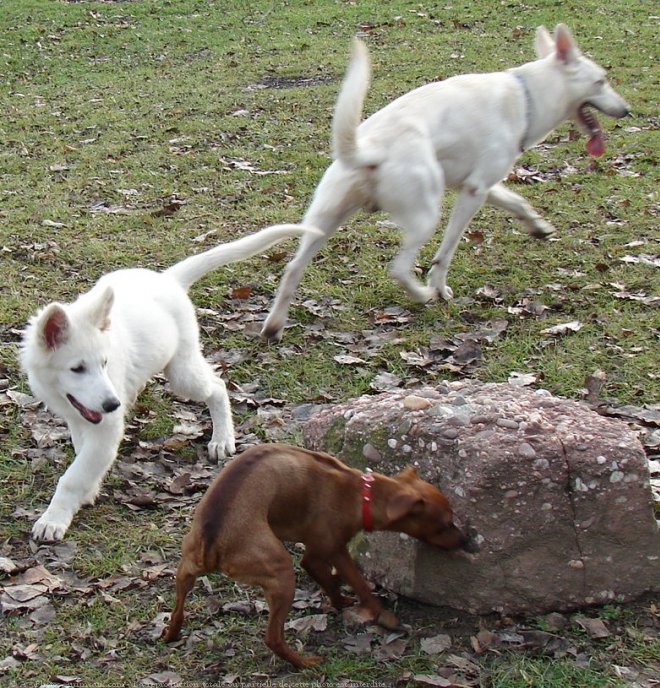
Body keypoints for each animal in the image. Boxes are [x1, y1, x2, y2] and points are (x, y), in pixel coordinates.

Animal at [21, 223, 316, 540]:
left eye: (104, 363)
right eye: (77, 369)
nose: (113, 405)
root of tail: (168, 280)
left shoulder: (107, 427)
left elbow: (74, 476)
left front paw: (54, 519)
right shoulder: (80, 416)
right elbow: (83, 457)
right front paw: (87, 491)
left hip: (182, 372)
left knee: (217, 387)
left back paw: (222, 438)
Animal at [162, 444, 466, 668]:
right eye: (445, 525)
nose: (466, 540)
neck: (362, 493)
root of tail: (213, 539)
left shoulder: (321, 555)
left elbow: (331, 581)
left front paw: (341, 601)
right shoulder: (328, 552)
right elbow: (357, 584)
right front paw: (379, 613)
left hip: (185, 569)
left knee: (177, 610)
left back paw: (171, 634)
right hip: (282, 573)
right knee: (273, 638)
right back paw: (305, 663)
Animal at [262, 24, 628, 342]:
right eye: (601, 81)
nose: (627, 110)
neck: (528, 96)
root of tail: (368, 148)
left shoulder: (480, 184)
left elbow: (517, 202)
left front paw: (538, 227)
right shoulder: (473, 193)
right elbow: (446, 253)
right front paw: (439, 288)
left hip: (323, 222)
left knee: (292, 269)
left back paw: (274, 326)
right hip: (425, 216)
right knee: (399, 268)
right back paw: (422, 295)